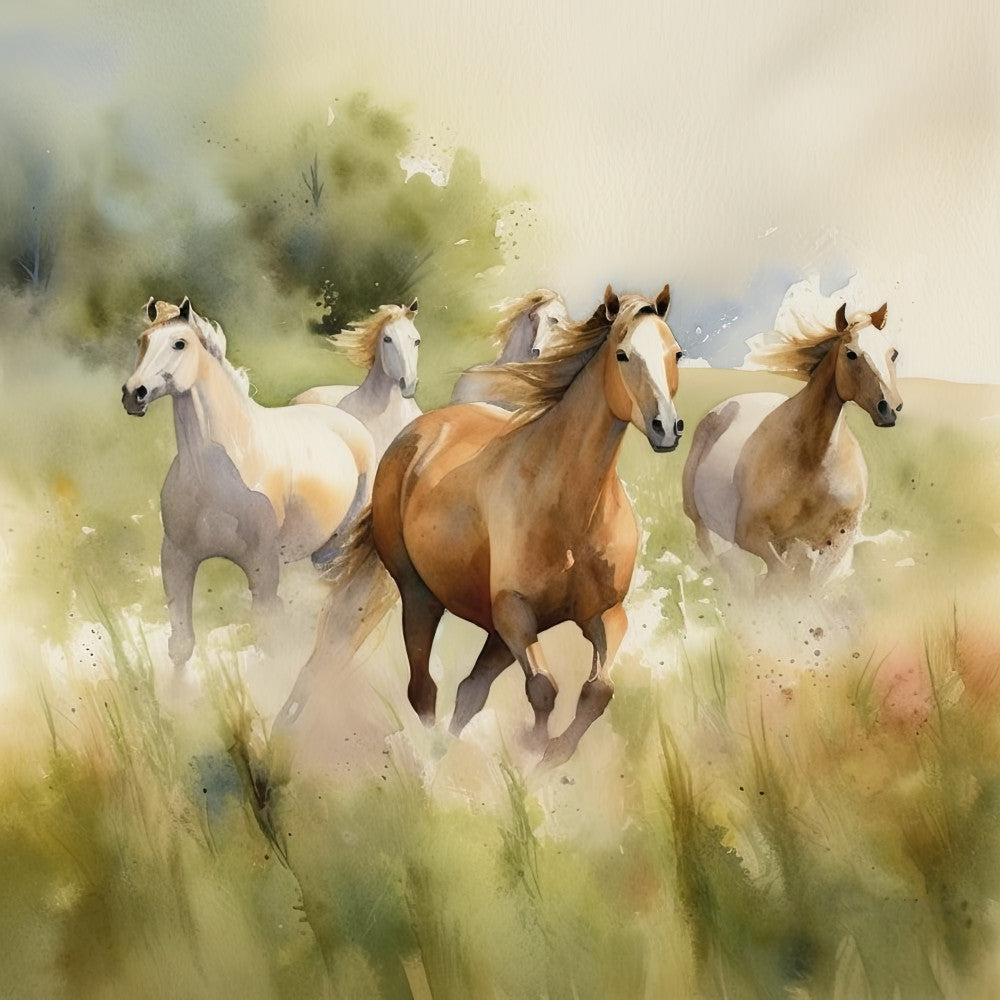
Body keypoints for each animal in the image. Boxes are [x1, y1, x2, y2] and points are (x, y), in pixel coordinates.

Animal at [121, 297, 376, 668]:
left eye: (179, 343)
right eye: (142, 341)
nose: (133, 394)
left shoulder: (263, 568)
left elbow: (269, 639)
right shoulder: (176, 559)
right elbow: (182, 645)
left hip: (338, 550)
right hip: (318, 553)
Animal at [361, 284, 683, 766]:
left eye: (676, 353)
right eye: (623, 354)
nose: (667, 427)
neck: (571, 507)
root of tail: (419, 430)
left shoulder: (605, 614)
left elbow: (598, 690)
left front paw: (553, 759)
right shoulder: (515, 611)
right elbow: (544, 689)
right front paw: (533, 751)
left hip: (496, 630)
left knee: (469, 691)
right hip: (421, 596)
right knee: (424, 690)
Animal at [682, 301, 902, 582]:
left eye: (893, 353)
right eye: (851, 354)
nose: (890, 408)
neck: (813, 461)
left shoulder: (834, 544)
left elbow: (806, 584)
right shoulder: (750, 535)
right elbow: (783, 579)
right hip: (704, 527)